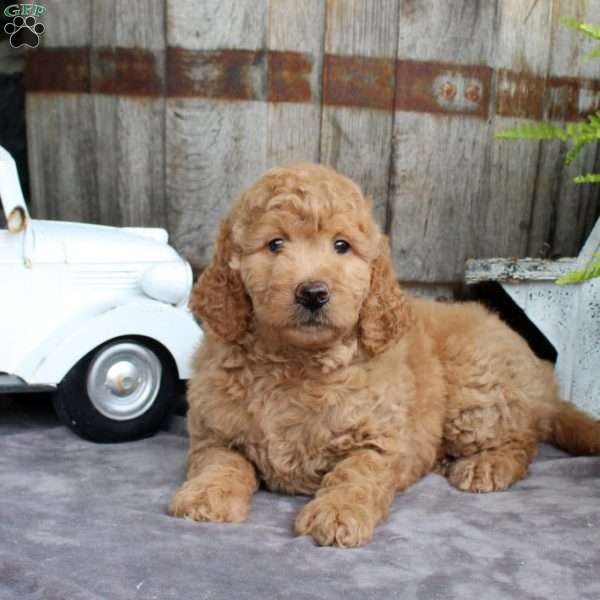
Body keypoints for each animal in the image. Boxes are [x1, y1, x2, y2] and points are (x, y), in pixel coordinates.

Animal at [169, 162, 600, 548]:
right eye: (275, 244)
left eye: (341, 246)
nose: (313, 292)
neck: (296, 363)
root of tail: (543, 378)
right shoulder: (215, 436)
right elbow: (222, 463)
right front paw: (205, 495)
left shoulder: (379, 440)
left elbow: (356, 475)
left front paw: (338, 512)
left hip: (477, 390)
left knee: (523, 440)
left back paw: (486, 464)